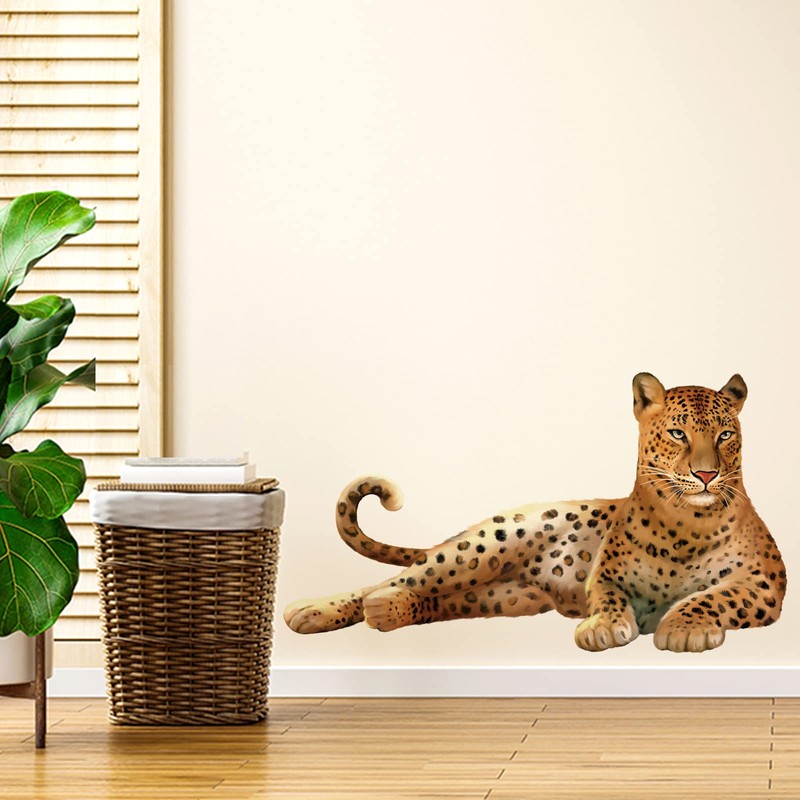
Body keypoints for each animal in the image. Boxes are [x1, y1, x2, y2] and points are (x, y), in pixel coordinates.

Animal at [284, 373, 786, 653]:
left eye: (725, 435)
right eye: (679, 433)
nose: (706, 474)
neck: (685, 524)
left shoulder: (764, 583)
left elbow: (711, 597)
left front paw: (681, 628)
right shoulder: (604, 577)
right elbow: (608, 597)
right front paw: (603, 627)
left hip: (503, 597)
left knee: (426, 596)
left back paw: (384, 610)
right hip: (485, 546)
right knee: (406, 574)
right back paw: (313, 609)